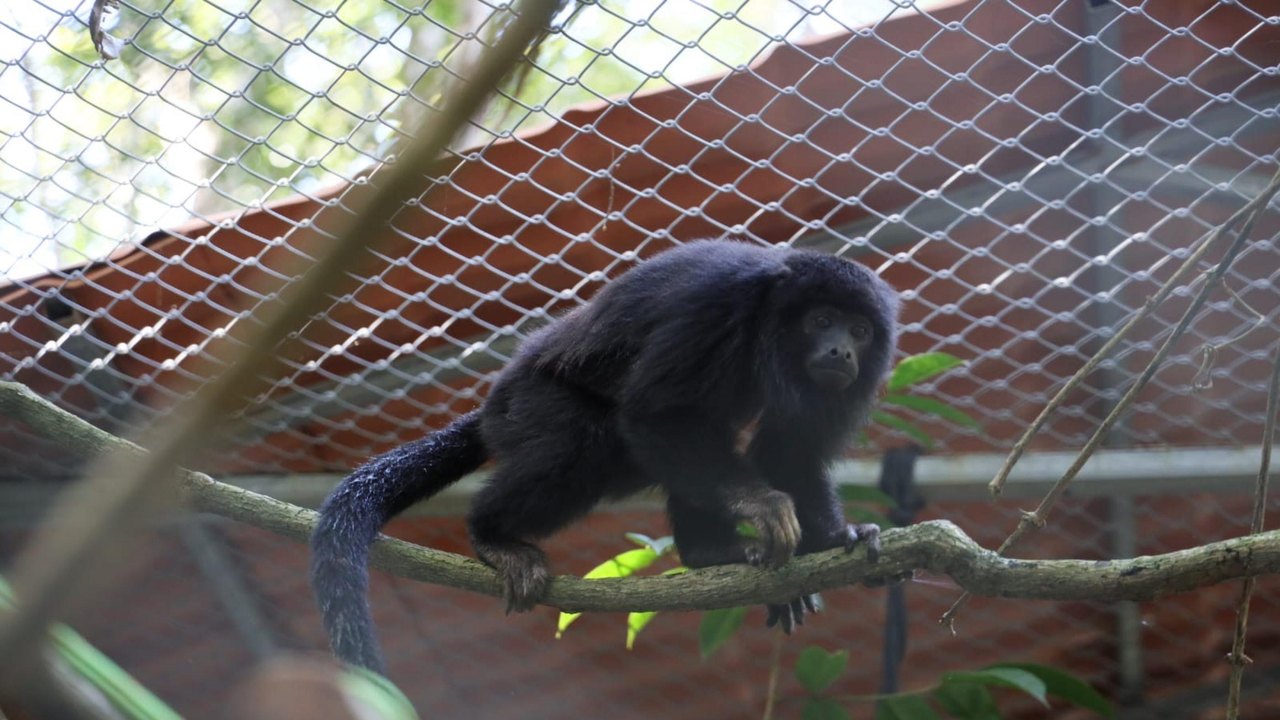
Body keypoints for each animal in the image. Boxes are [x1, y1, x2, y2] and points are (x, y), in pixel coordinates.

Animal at [310, 239, 900, 672]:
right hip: (533, 402)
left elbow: (792, 449)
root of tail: (496, 401)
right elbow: (654, 412)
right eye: (821, 320)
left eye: (861, 331)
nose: (841, 350)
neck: (770, 325)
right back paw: (492, 534)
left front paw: (834, 537)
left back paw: (709, 554)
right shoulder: (718, 308)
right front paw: (761, 505)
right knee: (589, 443)